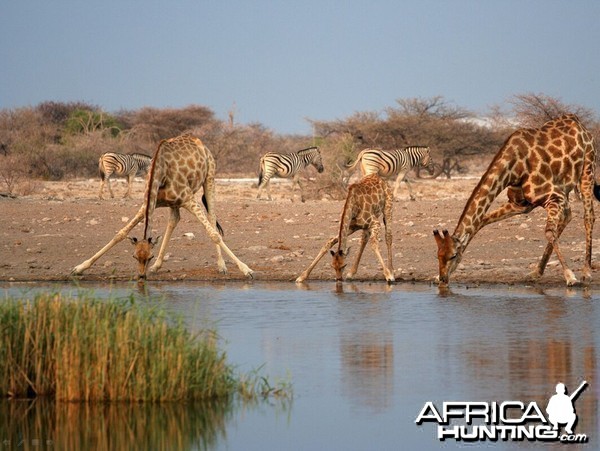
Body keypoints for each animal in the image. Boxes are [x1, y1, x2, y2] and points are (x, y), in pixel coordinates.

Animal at [72, 134, 253, 280]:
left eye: (150, 256)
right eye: (134, 256)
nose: (141, 276)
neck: (160, 173)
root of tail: (201, 142)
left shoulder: (189, 199)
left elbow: (213, 234)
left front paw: (247, 270)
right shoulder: (149, 202)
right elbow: (120, 233)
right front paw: (79, 268)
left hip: (209, 178)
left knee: (212, 218)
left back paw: (222, 266)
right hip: (174, 203)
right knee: (174, 220)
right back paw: (157, 267)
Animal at [434, 115, 596, 288]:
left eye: (453, 255)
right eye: (438, 255)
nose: (443, 279)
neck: (514, 168)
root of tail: (579, 124)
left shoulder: (554, 196)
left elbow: (548, 232)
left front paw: (570, 276)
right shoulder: (519, 204)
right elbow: (481, 221)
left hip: (587, 170)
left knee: (588, 217)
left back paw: (586, 272)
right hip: (565, 188)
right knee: (568, 215)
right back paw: (536, 272)